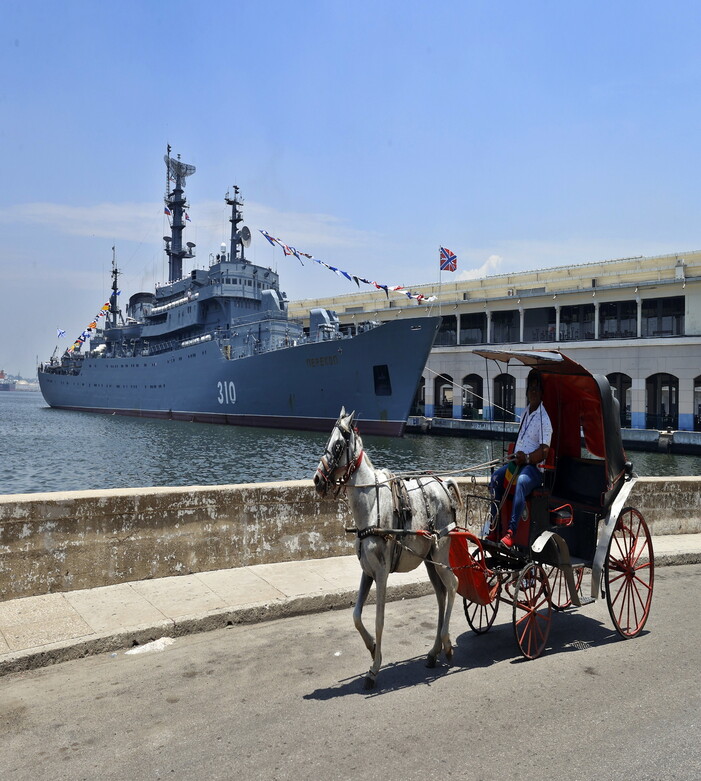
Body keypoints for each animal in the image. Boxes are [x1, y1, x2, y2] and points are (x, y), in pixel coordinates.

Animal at [312, 408, 460, 688]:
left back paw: (446, 643)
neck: (371, 506)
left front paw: (374, 668)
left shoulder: (381, 573)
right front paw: (371, 647)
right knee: (441, 594)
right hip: (429, 560)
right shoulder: (367, 571)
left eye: (337, 445)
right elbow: (356, 615)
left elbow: (379, 620)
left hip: (441, 553)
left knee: (454, 585)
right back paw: (435, 650)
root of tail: (443, 485)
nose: (317, 480)